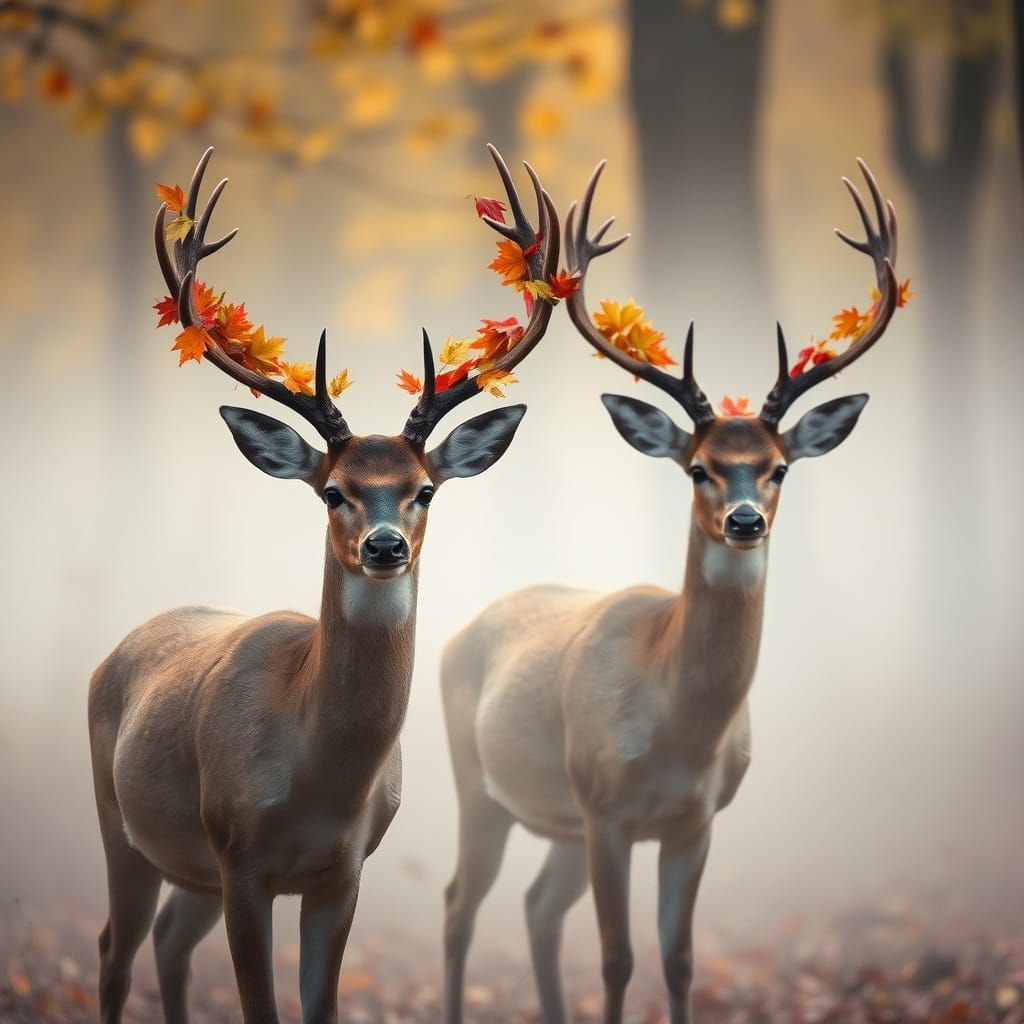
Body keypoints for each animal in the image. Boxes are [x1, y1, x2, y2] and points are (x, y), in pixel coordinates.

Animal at [87, 144, 558, 1024]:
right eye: (333, 491)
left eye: (424, 489)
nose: (384, 545)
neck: (320, 777)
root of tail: (119, 649)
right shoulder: (241, 858)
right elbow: (259, 1007)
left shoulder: (342, 873)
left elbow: (321, 1007)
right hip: (122, 825)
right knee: (112, 950)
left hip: (191, 870)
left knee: (166, 943)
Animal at [440, 159, 901, 1024]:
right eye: (698, 468)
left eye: (779, 467)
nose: (745, 521)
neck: (678, 725)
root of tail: (463, 629)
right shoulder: (606, 810)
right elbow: (618, 959)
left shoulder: (695, 822)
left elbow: (680, 959)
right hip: (479, 787)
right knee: (459, 905)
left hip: (556, 822)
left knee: (536, 907)